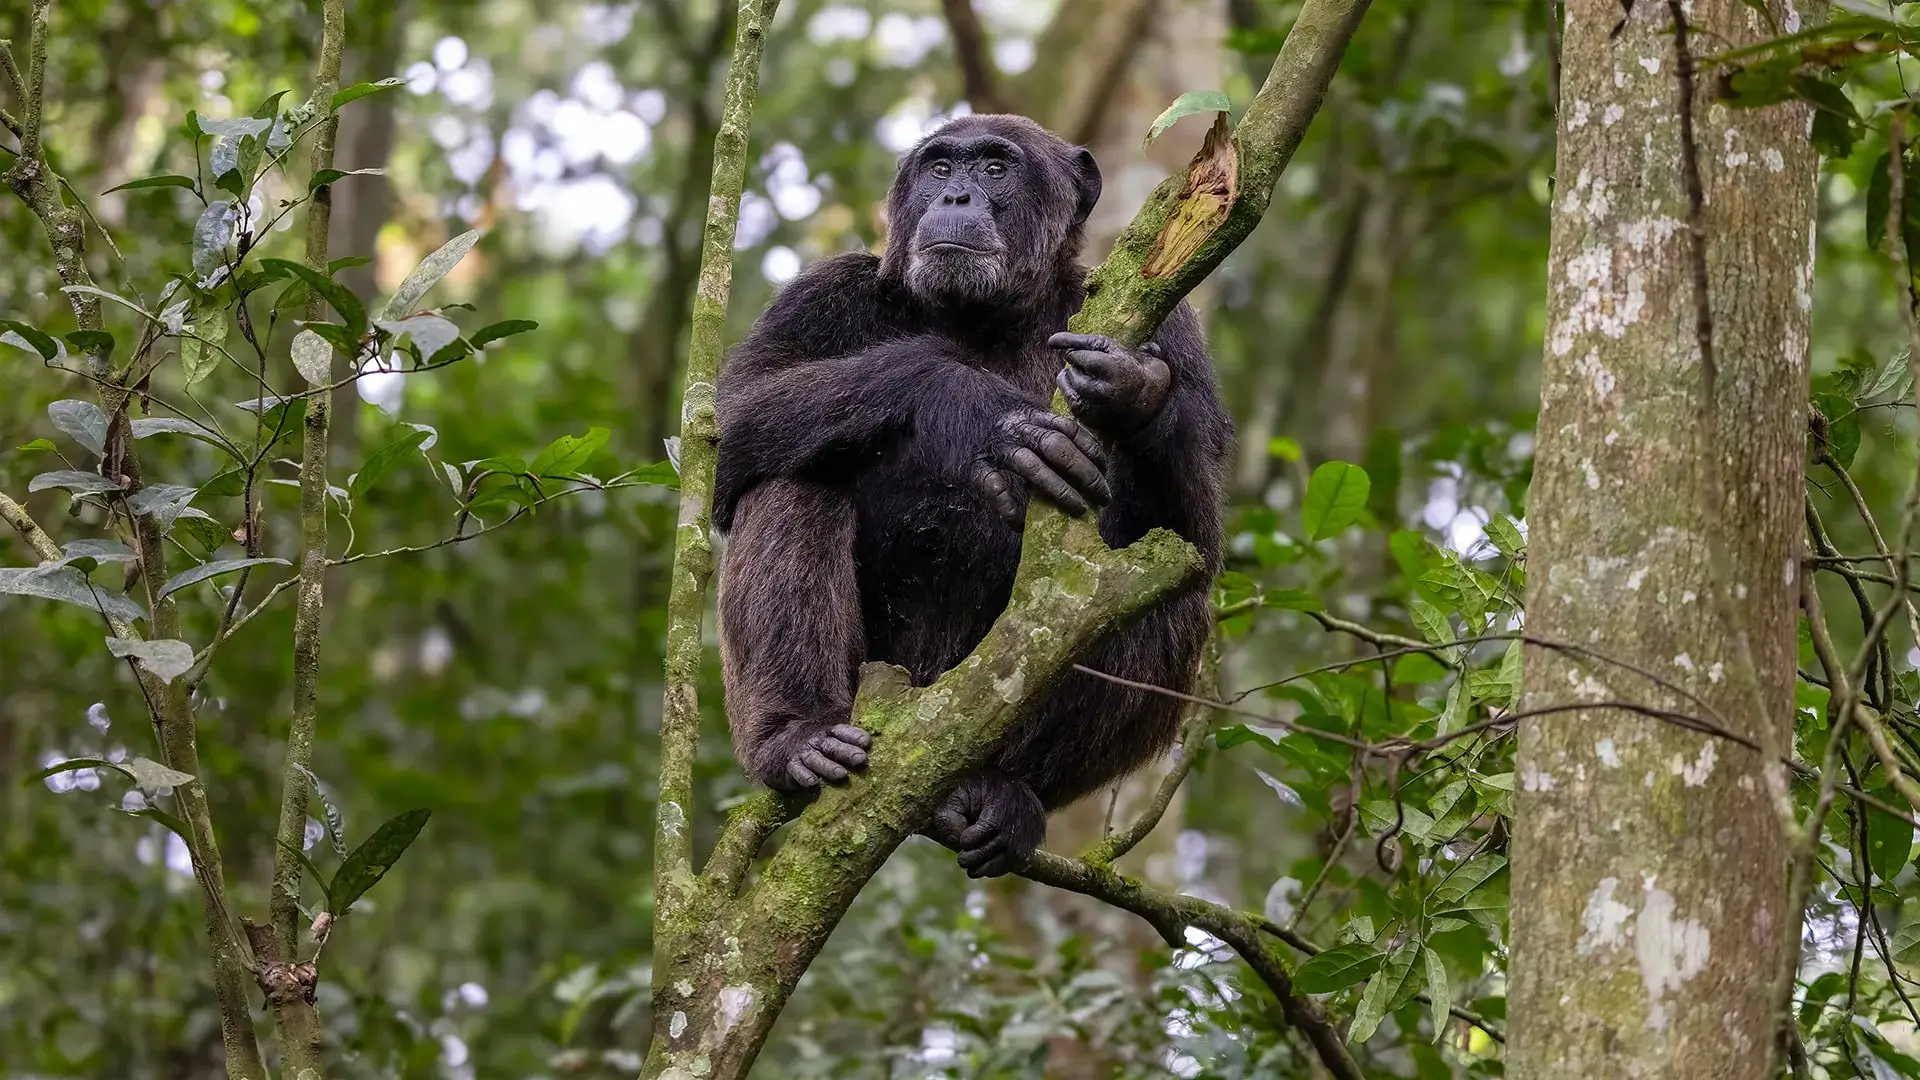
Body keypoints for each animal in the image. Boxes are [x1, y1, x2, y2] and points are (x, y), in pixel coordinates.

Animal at [712, 114, 1231, 878]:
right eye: (939, 167)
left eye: (993, 168)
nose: (956, 196)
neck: (985, 316)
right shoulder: (821, 295)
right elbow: (726, 426)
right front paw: (977, 408)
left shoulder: (1176, 329)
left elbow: (1196, 538)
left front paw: (1134, 389)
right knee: (788, 477)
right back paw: (797, 735)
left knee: (1167, 591)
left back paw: (1004, 793)